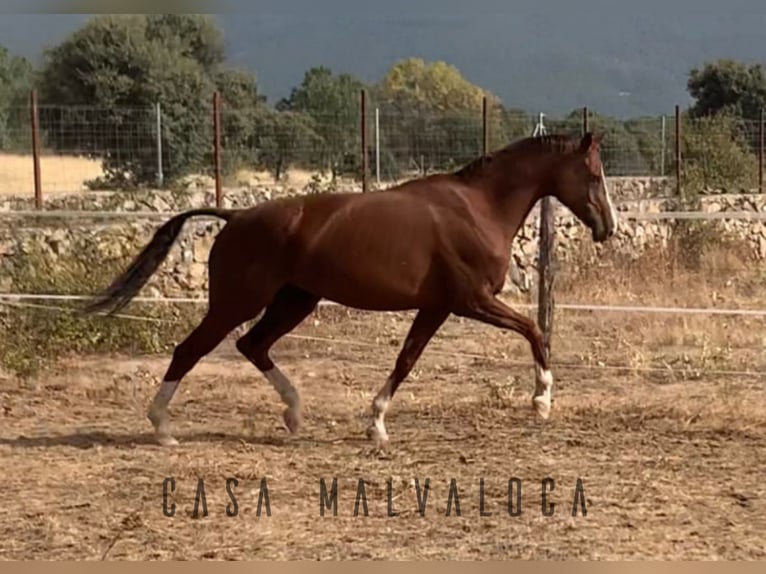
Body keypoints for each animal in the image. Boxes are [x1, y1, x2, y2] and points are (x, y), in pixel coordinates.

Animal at [84, 132, 620, 450]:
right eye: (593, 174)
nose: (608, 228)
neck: (478, 208)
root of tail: (235, 217)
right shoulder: (471, 301)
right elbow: (534, 330)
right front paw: (542, 401)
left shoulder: (436, 307)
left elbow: (406, 359)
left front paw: (376, 424)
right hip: (238, 302)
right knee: (190, 350)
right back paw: (162, 428)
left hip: (294, 301)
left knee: (252, 345)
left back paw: (294, 415)